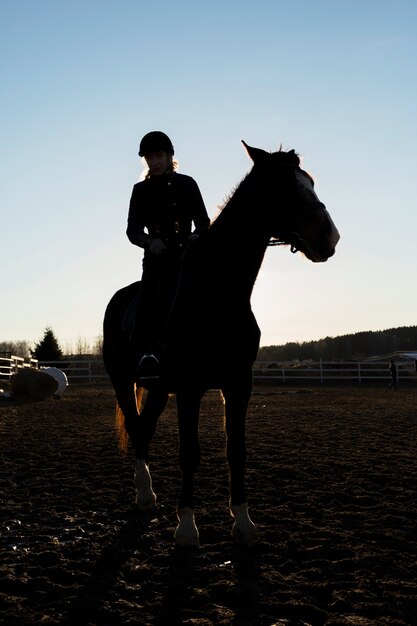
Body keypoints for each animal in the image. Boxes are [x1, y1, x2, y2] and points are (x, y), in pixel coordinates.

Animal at [102, 141, 340, 544]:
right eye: (281, 186)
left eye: (309, 181)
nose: (329, 238)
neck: (217, 293)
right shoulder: (190, 388)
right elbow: (189, 453)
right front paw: (186, 527)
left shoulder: (238, 384)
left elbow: (236, 450)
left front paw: (242, 521)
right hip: (123, 381)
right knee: (136, 429)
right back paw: (145, 495)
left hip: (159, 389)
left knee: (145, 428)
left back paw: (148, 496)